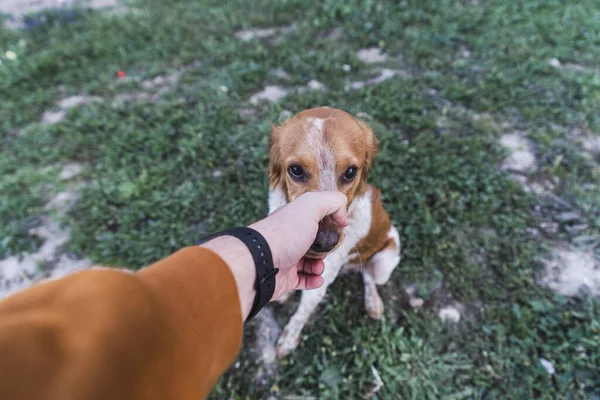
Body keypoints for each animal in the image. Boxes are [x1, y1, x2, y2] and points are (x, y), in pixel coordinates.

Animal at [268, 106, 400, 356]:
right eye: (296, 170)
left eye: (350, 172)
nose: (325, 242)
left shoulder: (318, 285)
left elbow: (299, 316)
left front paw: (288, 340)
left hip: (386, 261)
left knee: (369, 275)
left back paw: (373, 302)